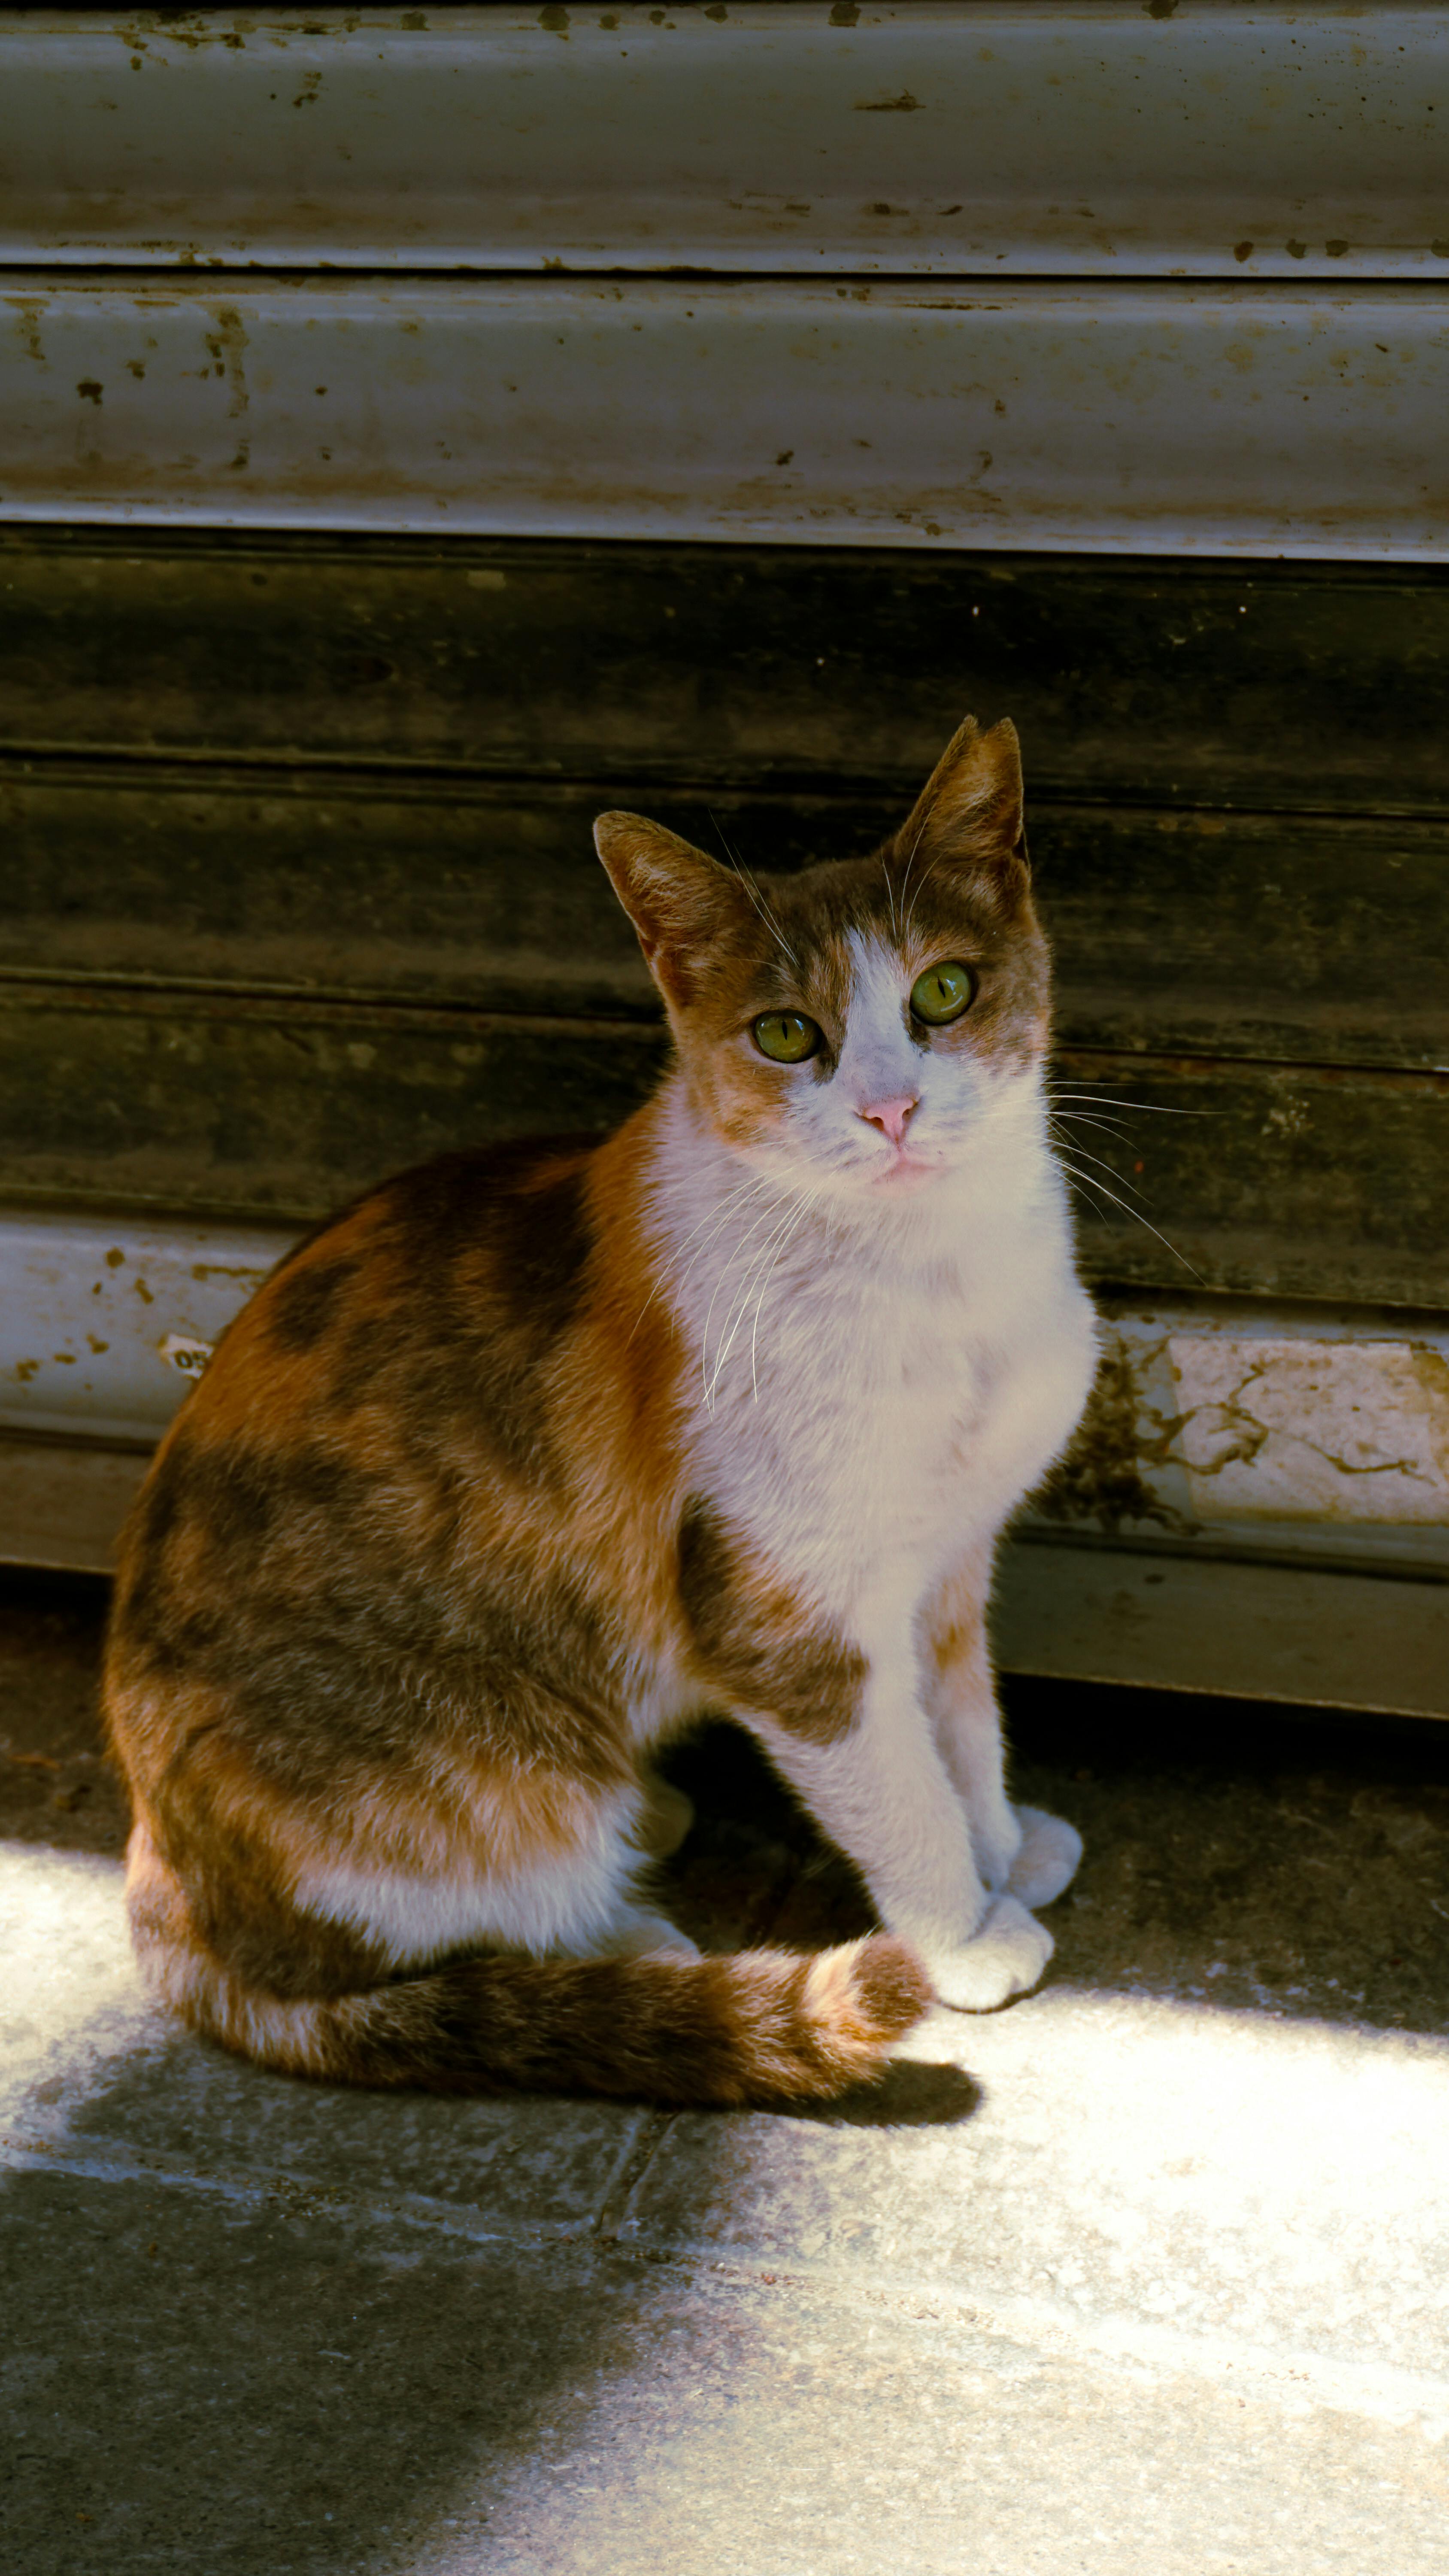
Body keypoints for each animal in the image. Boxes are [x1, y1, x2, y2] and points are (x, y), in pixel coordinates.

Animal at [105, 716, 1101, 2102]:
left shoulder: (951, 1560)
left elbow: (963, 1721)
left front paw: (1002, 1840)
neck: (931, 1268)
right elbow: (897, 1782)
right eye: (786, 1033)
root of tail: (163, 1872)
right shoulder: (784, 1615)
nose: (890, 1107)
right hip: (490, 1769)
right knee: (460, 1926)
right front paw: (958, 1929)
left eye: (944, 994)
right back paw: (635, 1936)